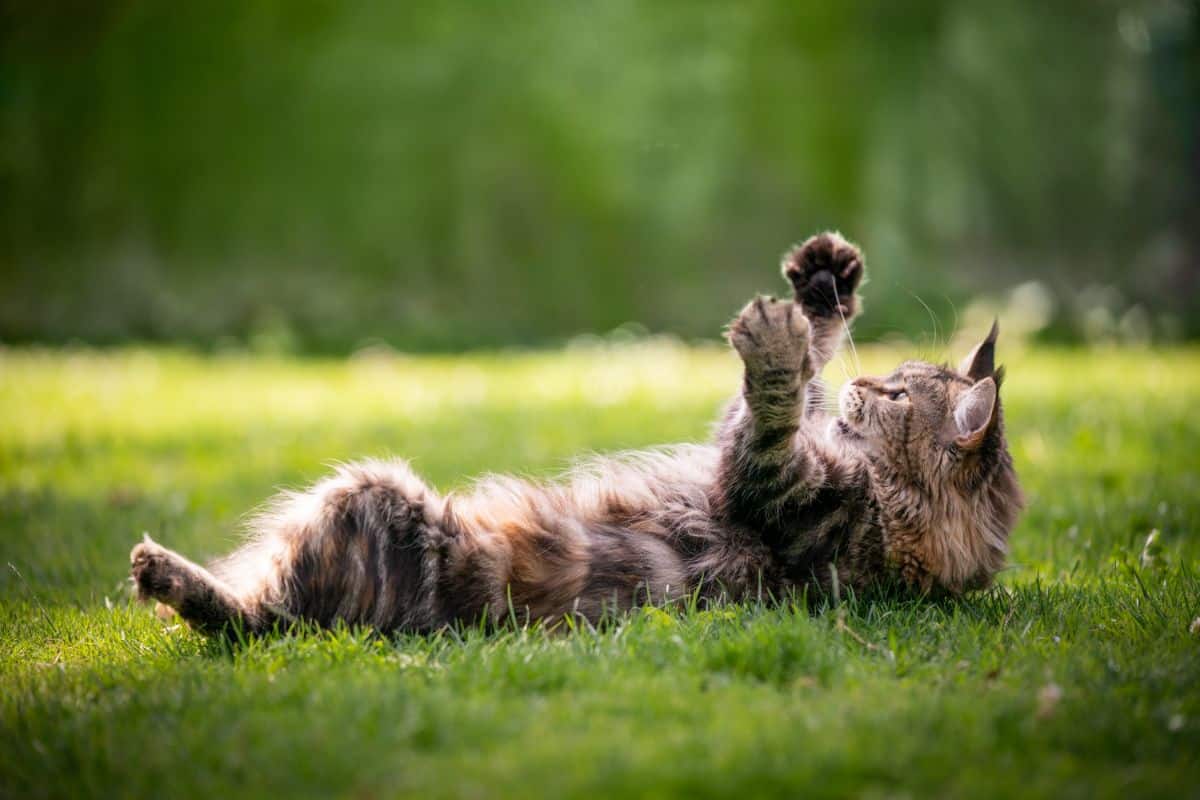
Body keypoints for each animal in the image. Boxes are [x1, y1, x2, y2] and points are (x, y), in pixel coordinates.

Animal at [133, 232, 1032, 638]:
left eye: (894, 393)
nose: (862, 385)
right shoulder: (755, 448)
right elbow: (786, 385)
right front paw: (823, 284)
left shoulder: (786, 493)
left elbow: (772, 410)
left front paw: (781, 344)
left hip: (368, 498)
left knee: (245, 619)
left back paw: (167, 575)